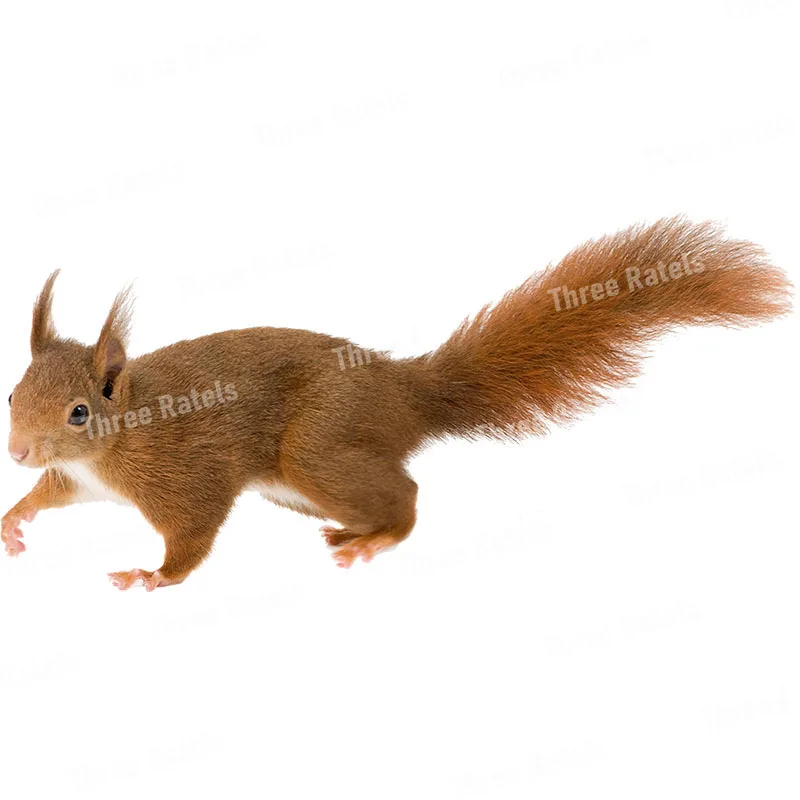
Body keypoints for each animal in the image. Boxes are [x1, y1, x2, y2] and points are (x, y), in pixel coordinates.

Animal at [2, 217, 792, 590]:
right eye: (12, 391)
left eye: (78, 412)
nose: (15, 450)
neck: (121, 433)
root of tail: (407, 392)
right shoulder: (81, 479)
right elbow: (54, 493)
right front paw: (14, 519)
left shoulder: (183, 475)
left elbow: (191, 535)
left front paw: (153, 576)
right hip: (298, 486)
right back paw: (356, 532)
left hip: (316, 450)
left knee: (408, 495)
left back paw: (374, 540)